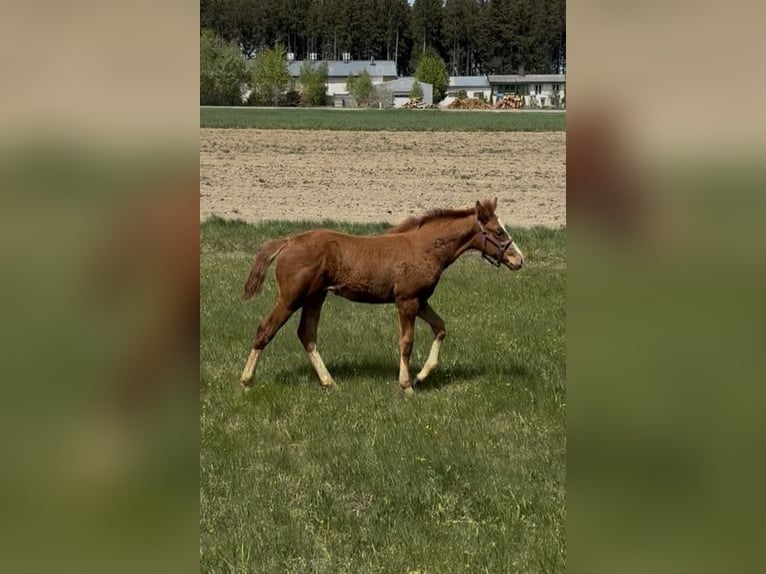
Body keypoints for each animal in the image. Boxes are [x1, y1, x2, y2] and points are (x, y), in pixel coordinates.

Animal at [239, 198, 524, 394]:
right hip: (291, 297)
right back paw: (246, 381)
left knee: (307, 334)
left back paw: (329, 382)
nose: (519, 260)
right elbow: (406, 342)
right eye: (499, 232)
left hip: (315, 297)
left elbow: (440, 329)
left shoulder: (421, 301)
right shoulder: (406, 301)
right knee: (265, 328)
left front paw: (420, 377)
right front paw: (406, 385)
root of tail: (288, 241)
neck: (425, 249)